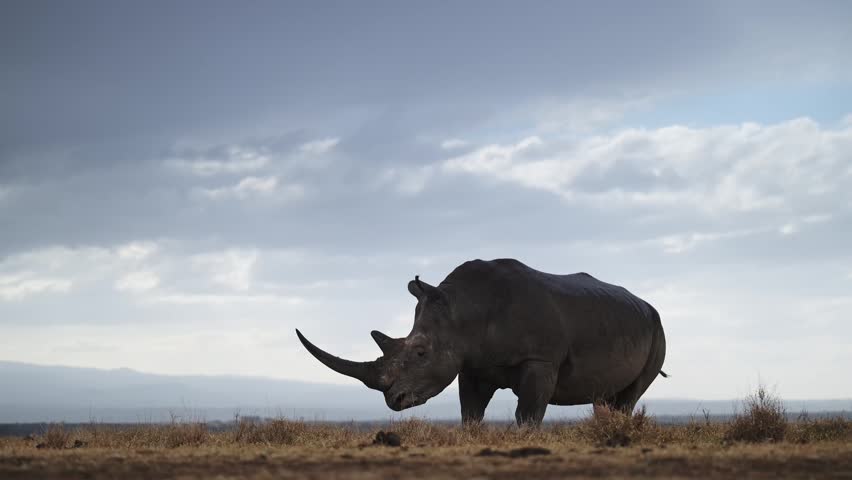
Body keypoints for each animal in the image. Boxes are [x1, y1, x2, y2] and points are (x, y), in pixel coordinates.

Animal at [296, 258, 667, 425]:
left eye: (421, 352)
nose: (393, 400)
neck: (462, 311)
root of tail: (646, 305)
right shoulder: (471, 363)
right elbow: (470, 411)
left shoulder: (540, 359)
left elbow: (528, 413)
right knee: (606, 397)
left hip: (657, 328)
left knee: (629, 396)